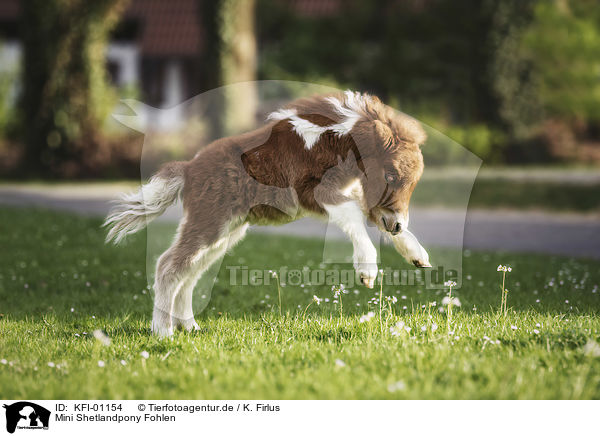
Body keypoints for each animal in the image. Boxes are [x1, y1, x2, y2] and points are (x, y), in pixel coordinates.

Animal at [104, 91, 432, 338]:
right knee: (169, 265)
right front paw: (367, 270)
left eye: (415, 181)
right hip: (209, 222)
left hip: (224, 233)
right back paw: (163, 331)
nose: (397, 223)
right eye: (390, 175)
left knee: (189, 272)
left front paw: (417, 254)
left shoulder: (358, 192)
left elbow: (373, 215)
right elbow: (353, 214)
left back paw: (189, 326)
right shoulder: (310, 191)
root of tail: (188, 169)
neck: (332, 140)